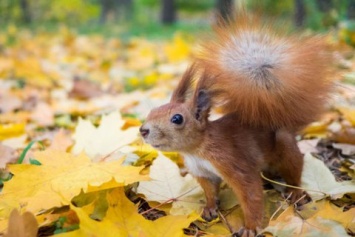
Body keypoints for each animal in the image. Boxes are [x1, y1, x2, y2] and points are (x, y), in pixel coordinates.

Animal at [140, 11, 334, 237]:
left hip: (285, 145)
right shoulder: (203, 173)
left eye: (177, 119)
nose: (143, 130)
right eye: (152, 111)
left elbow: (251, 194)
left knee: (294, 170)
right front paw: (210, 208)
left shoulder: (233, 163)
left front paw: (250, 227)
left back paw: (295, 193)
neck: (196, 151)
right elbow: (210, 191)